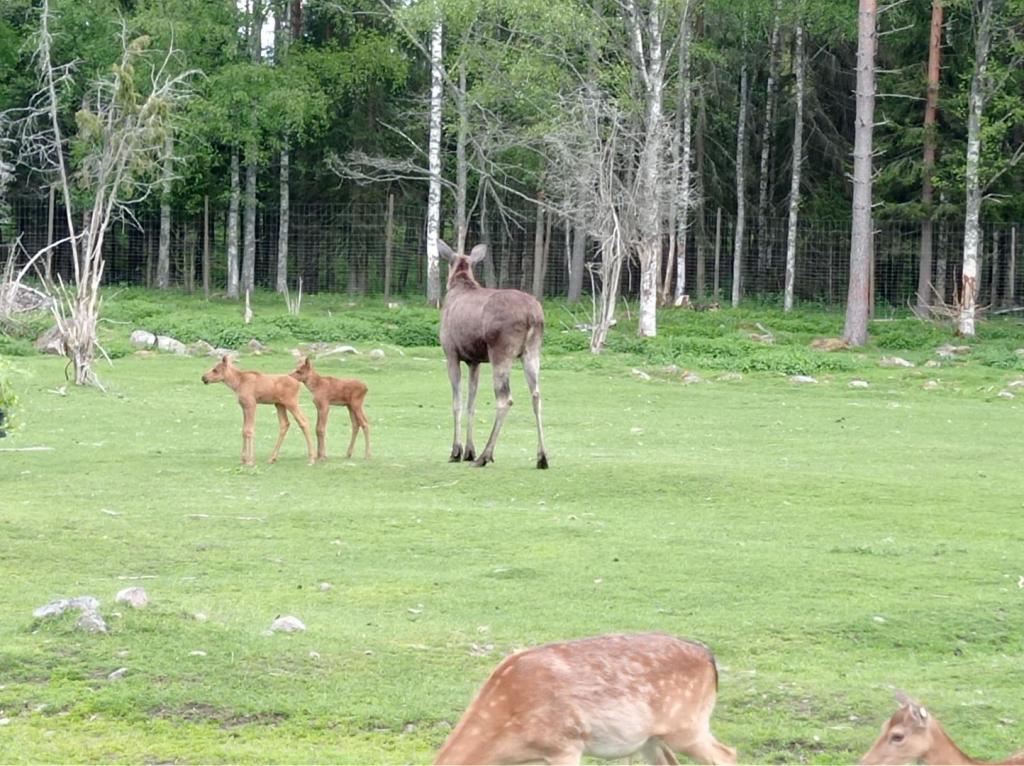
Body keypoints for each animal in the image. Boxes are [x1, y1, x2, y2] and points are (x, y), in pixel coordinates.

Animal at [440, 239, 552, 466]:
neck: (460, 281)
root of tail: (532, 316)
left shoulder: (451, 353)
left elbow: (457, 402)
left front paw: (457, 451)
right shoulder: (474, 361)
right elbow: (471, 403)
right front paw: (469, 450)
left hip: (501, 352)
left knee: (504, 398)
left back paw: (485, 456)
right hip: (532, 351)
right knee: (536, 395)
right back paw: (542, 457)